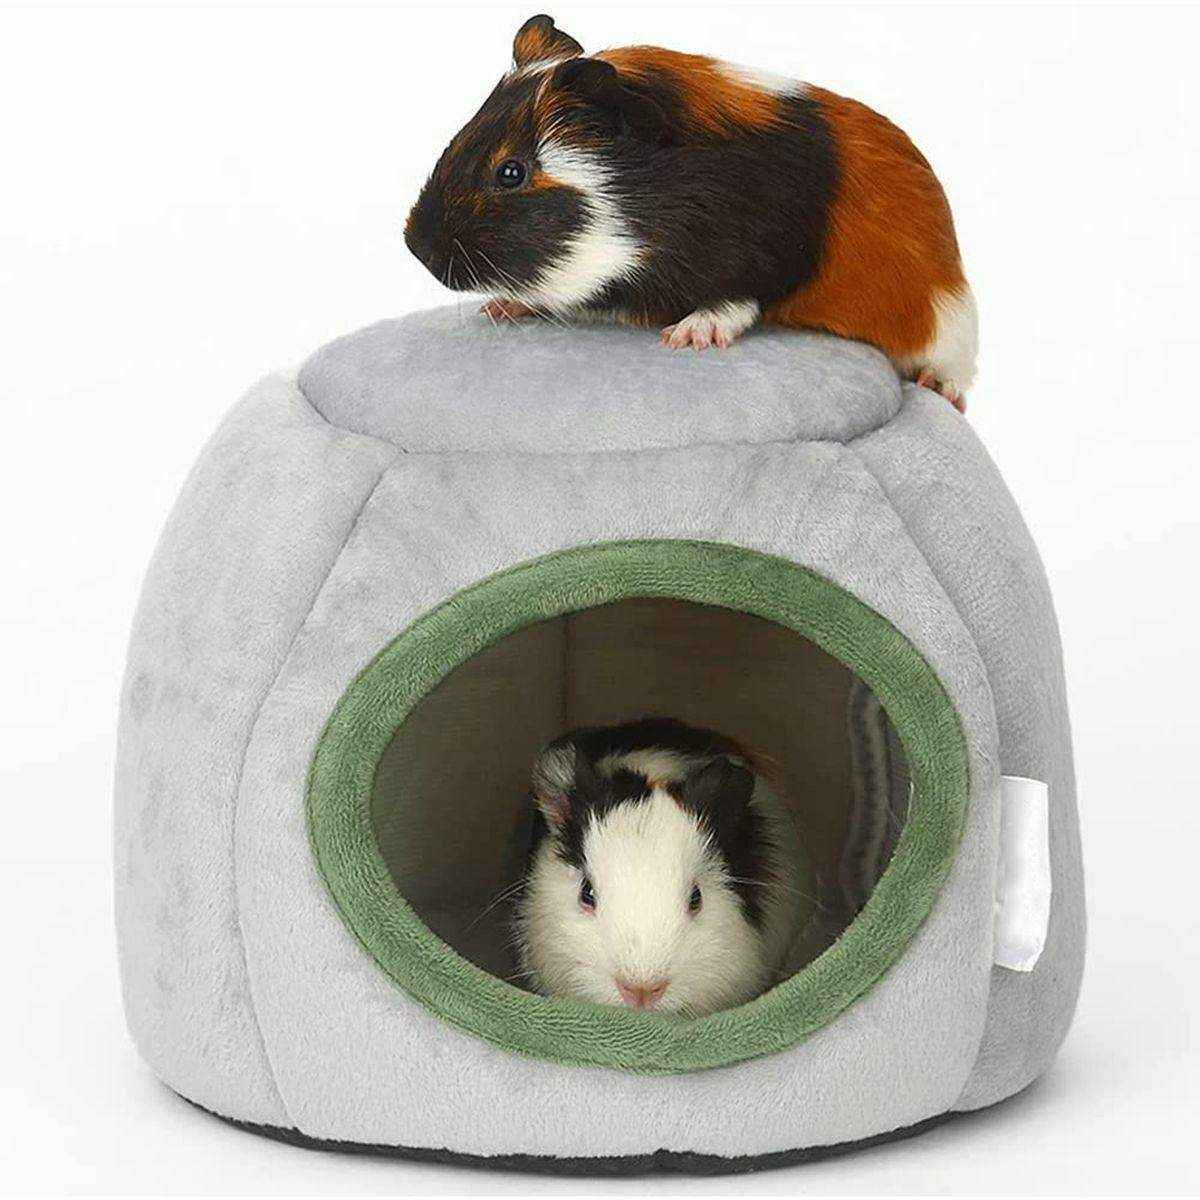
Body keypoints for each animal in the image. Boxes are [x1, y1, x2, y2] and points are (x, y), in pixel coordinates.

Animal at [405, 14, 977, 411]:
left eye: (511, 172)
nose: (416, 245)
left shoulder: (753, 260)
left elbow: (735, 299)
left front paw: (687, 338)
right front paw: (502, 308)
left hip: (949, 325)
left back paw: (939, 390)